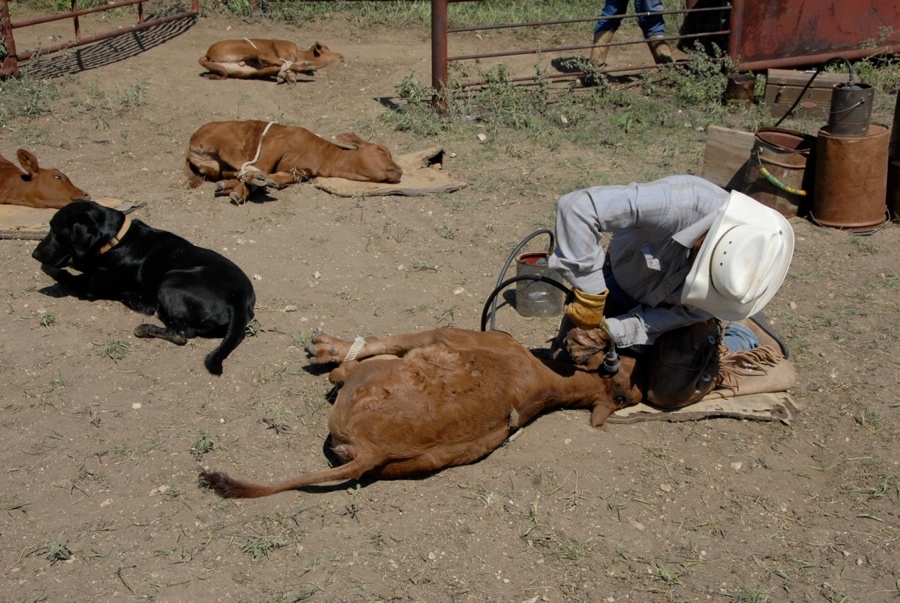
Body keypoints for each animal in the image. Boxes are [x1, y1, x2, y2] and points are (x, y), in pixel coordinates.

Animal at [31, 201, 255, 376]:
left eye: (57, 233)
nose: (34, 254)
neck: (116, 240)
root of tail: (238, 298)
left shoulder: (89, 286)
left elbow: (63, 274)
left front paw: (50, 268)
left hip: (170, 280)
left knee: (182, 334)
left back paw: (145, 327)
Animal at [185, 121, 402, 205]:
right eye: (381, 150)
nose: (399, 169)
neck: (320, 155)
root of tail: (192, 143)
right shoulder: (278, 143)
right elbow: (263, 165)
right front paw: (240, 192)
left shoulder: (297, 172)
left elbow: (277, 179)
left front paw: (241, 189)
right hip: (229, 142)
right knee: (244, 164)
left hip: (215, 166)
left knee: (232, 172)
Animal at [199, 39, 342, 82]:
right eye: (327, 49)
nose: (341, 56)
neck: (299, 54)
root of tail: (208, 54)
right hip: (250, 49)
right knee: (276, 62)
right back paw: (307, 68)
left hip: (246, 71)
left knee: (272, 69)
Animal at [200, 328, 644, 498]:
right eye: (627, 364)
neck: (551, 380)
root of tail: (372, 452)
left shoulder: (438, 334)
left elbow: (382, 340)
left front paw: (325, 348)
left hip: (370, 378)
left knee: (351, 371)